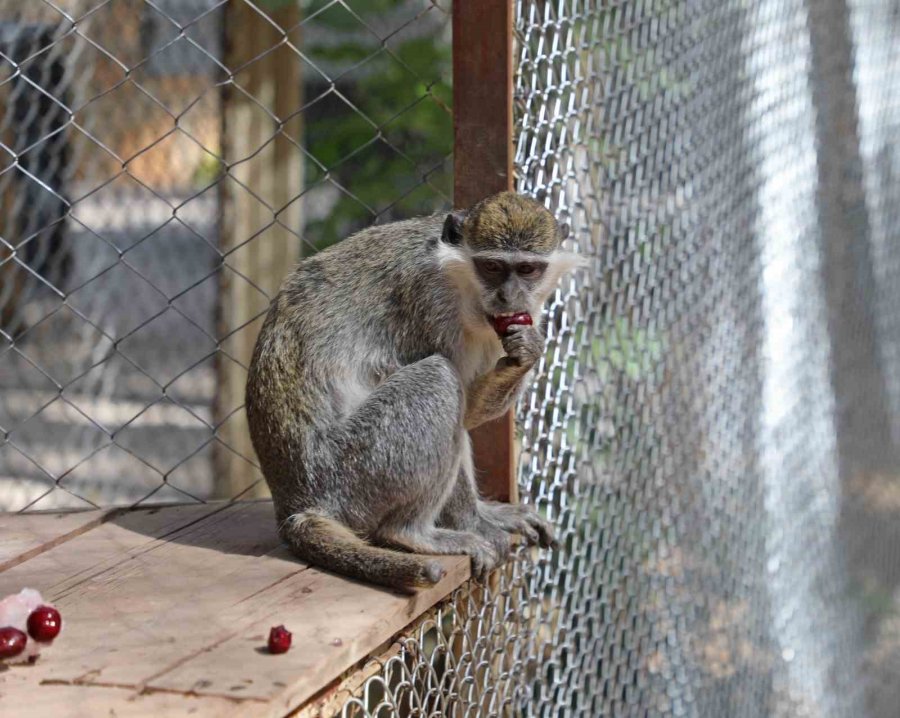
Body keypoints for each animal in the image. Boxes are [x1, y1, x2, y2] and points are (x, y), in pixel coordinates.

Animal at [246, 191, 584, 592]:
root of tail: (295, 503)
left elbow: (469, 410)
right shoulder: (427, 301)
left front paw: (528, 352)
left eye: (528, 270)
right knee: (439, 378)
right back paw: (412, 533)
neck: (459, 279)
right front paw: (475, 523)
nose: (509, 298)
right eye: (492, 267)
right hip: (351, 474)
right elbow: (452, 392)